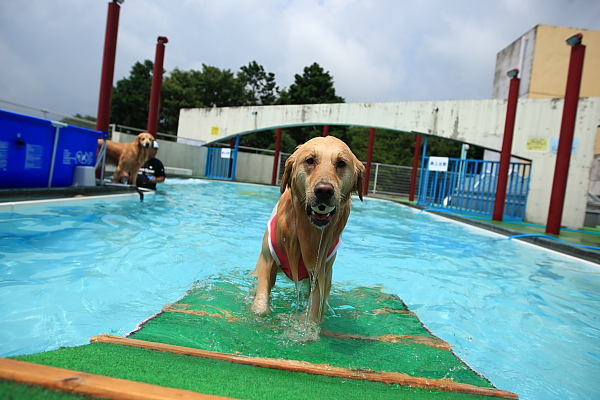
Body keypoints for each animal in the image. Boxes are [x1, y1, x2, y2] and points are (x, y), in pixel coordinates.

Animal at [252, 136, 366, 324]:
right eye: (310, 160)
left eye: (341, 163)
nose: (324, 190)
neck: (308, 232)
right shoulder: (267, 260)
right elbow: (261, 304)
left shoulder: (322, 272)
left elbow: (314, 312)